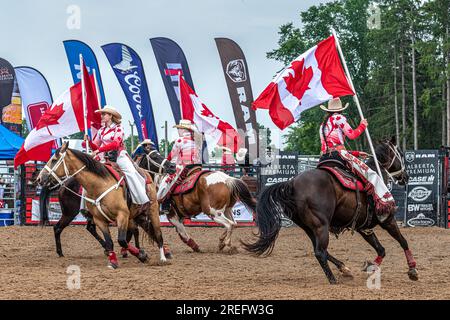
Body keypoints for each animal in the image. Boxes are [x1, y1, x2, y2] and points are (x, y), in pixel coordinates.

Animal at [36, 141, 167, 268]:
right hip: (70, 213)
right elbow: (112, 241)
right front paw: (115, 260)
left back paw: (163, 257)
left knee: (158, 233)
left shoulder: (123, 215)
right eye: (155, 156)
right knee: (60, 228)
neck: (100, 185)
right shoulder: (100, 219)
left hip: (152, 210)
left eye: (54, 160)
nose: (39, 178)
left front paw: (140, 255)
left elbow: (122, 239)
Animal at [243, 138, 418, 284]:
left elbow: (381, 249)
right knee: (320, 252)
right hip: (321, 225)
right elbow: (403, 241)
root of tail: (291, 183)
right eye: (400, 154)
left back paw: (344, 269)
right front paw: (412, 270)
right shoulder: (387, 219)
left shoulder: (364, 228)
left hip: (309, 228)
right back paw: (333, 279)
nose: (407, 177)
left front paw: (371, 266)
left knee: (322, 251)